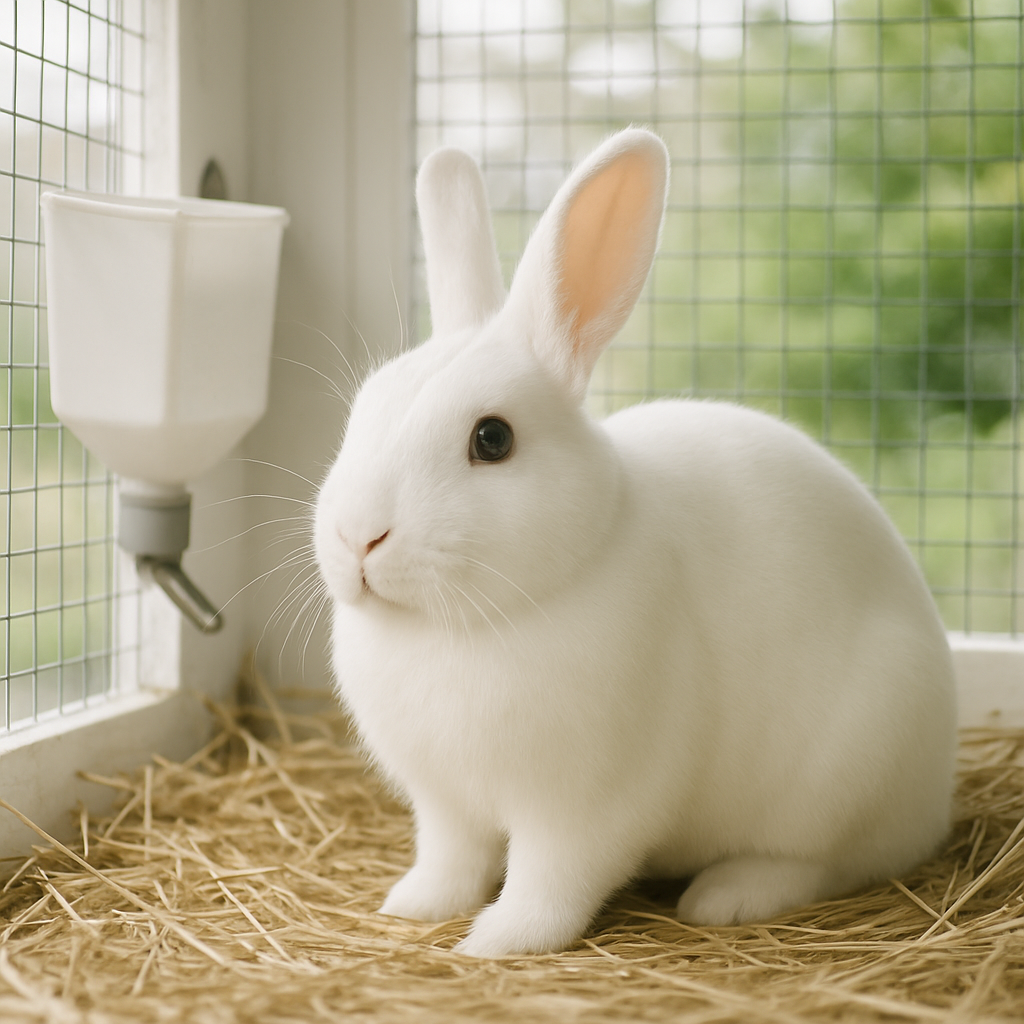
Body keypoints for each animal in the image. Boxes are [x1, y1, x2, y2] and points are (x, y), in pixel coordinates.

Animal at [313, 128, 958, 958]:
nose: (357, 537)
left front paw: (499, 941)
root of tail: (936, 795)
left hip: (845, 776)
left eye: (492, 439)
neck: (461, 626)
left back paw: (726, 897)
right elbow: (451, 858)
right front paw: (415, 906)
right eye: (363, 410)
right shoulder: (445, 803)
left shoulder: (585, 806)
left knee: (817, 862)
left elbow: (553, 880)